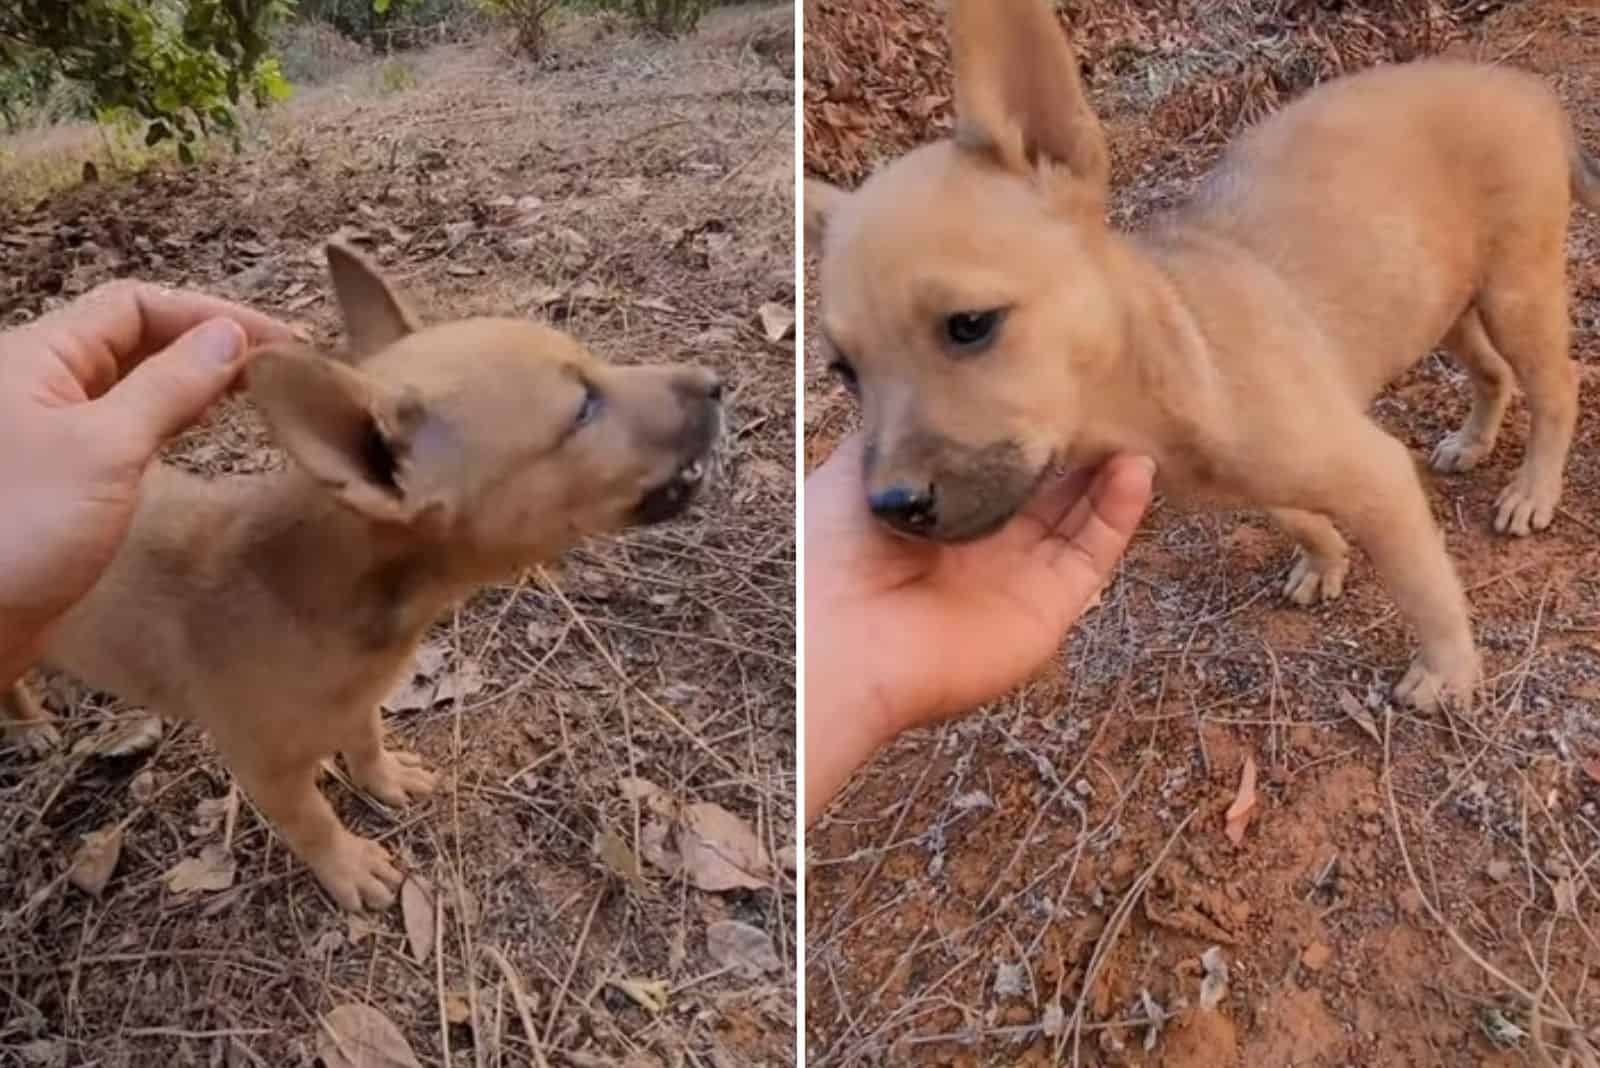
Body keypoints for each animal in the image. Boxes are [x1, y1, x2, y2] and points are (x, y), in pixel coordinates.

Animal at [9, 244, 723, 908]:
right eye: (582, 411)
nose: (717, 382)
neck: (309, 588)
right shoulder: (267, 770)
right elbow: (314, 820)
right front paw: (348, 865)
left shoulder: (359, 699)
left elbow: (366, 737)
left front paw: (382, 779)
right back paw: (27, 725)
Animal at [806, 0, 1593, 713]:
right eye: (844, 372)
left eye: (969, 325)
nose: (892, 508)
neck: (1180, 355)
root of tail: (1525, 88)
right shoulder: (1255, 480)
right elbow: (1294, 515)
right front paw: (1324, 559)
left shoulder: (1377, 475)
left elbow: (1422, 586)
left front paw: (1447, 669)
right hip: (1442, 299)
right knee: (1493, 373)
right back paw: (1472, 442)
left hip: (1514, 291)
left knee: (1559, 384)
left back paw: (1533, 491)